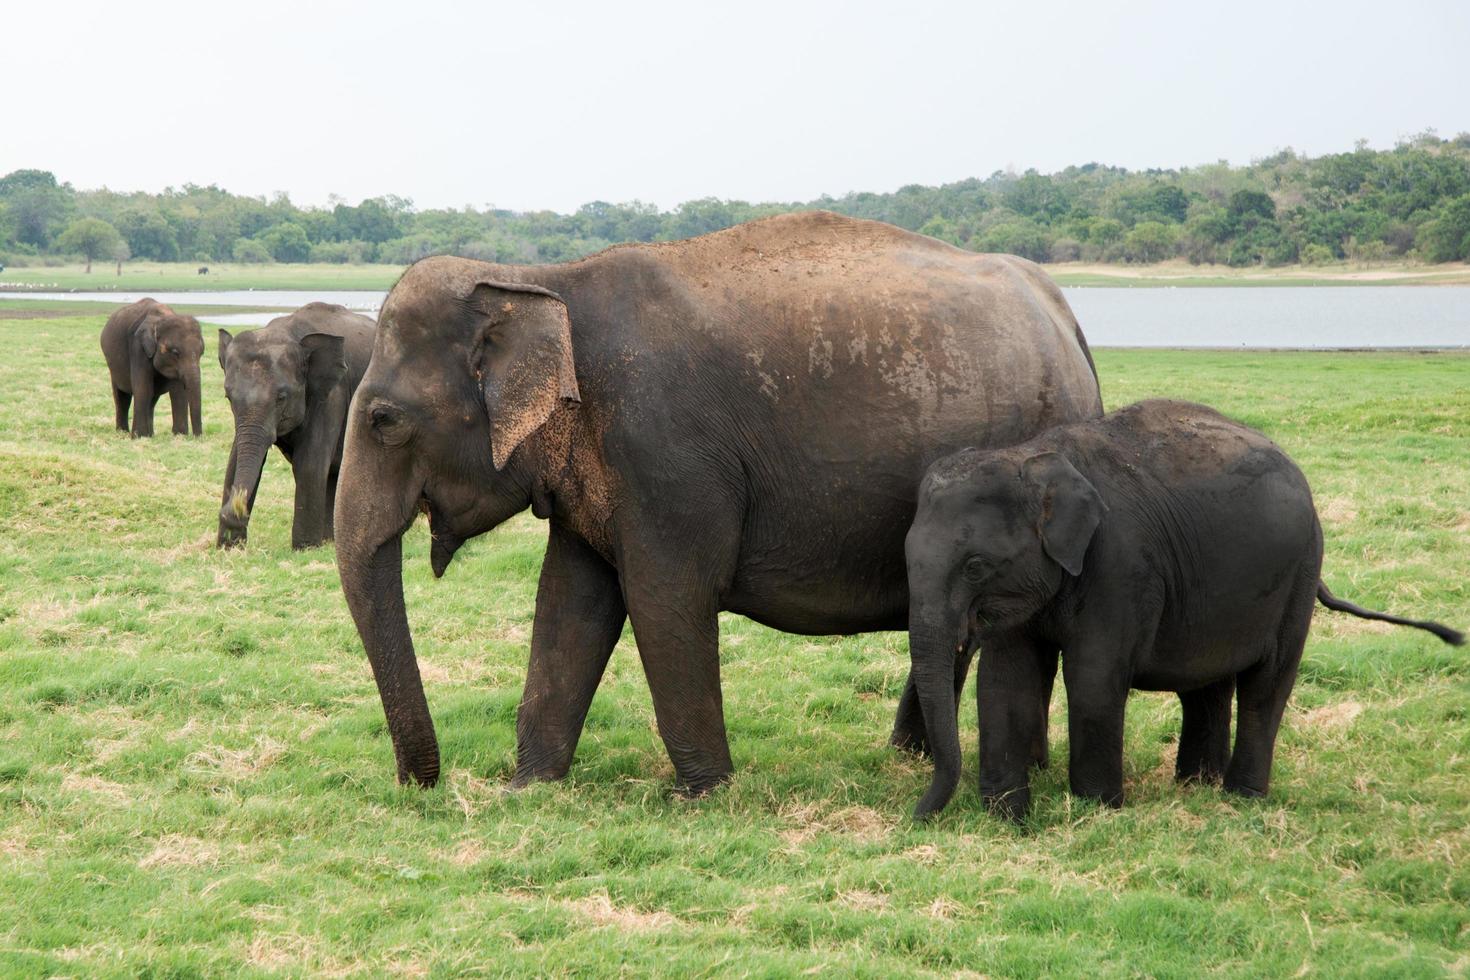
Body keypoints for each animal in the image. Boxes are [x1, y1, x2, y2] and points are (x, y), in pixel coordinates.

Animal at [100, 299, 204, 437]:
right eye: (175, 352)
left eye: (202, 352)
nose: (198, 437)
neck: (162, 317)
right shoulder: (138, 347)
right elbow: (143, 388)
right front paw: (138, 436)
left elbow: (178, 391)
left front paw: (179, 436)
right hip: (114, 367)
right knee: (122, 396)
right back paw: (123, 433)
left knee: (152, 399)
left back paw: (151, 435)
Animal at [220, 302, 379, 552]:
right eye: (228, 396)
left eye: (281, 397)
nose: (231, 512)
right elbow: (233, 462)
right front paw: (227, 548)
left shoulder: (332, 395)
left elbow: (309, 464)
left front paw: (304, 549)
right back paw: (330, 542)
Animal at [336, 211, 1105, 793]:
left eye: (383, 420)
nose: (424, 787)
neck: (541, 282)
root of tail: (1069, 319)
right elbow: (570, 602)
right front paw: (530, 788)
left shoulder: (666, 452)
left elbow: (664, 597)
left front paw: (702, 793)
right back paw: (917, 758)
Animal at [905, 399, 1458, 822]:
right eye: (905, 558)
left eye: (975, 566)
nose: (915, 817)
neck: (1030, 456)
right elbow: (1004, 681)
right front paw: (1008, 818)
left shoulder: (1121, 566)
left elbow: (1094, 680)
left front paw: (1096, 810)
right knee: (1207, 682)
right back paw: (1197, 785)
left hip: (1298, 574)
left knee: (1267, 683)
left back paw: (1241, 798)